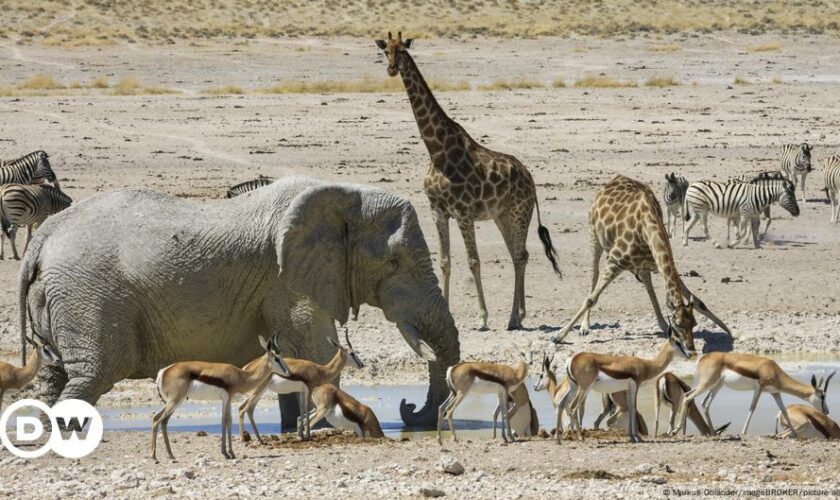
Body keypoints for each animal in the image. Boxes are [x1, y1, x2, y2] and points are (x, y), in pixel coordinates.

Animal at [18, 175, 460, 426]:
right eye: (393, 263)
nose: (409, 410)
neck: (344, 194)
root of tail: (44, 236)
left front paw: (295, 427)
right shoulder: (289, 278)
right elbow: (316, 350)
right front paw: (321, 428)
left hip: (63, 297)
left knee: (56, 375)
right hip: (88, 297)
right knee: (93, 374)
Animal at [152, 336, 292, 460]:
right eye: (276, 358)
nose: (289, 372)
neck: (242, 376)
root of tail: (164, 371)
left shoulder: (226, 401)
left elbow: (226, 421)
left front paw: (227, 453)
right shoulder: (228, 398)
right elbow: (227, 421)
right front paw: (229, 453)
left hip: (177, 402)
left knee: (161, 420)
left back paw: (170, 455)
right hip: (174, 401)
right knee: (157, 420)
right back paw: (154, 456)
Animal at [376, 34, 560, 332]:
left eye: (402, 50)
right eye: (385, 51)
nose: (392, 69)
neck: (437, 151)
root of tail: (531, 180)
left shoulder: (463, 213)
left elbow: (473, 261)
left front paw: (483, 317)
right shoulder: (438, 211)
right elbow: (444, 261)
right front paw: (446, 312)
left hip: (520, 212)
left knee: (519, 255)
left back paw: (513, 318)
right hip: (502, 216)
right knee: (518, 254)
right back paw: (519, 315)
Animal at [556, 177, 728, 348]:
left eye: (694, 324)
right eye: (678, 324)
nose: (690, 347)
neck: (647, 228)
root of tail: (614, 179)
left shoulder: (656, 262)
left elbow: (697, 300)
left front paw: (727, 330)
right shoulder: (615, 261)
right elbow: (591, 299)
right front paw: (559, 336)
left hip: (641, 263)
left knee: (647, 282)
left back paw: (662, 325)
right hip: (593, 232)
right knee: (594, 275)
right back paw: (585, 326)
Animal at [672, 352, 832, 438]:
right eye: (822, 396)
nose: (827, 411)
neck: (772, 369)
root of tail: (704, 357)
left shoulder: (775, 392)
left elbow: (784, 410)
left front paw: (795, 433)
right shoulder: (759, 388)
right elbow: (752, 408)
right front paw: (743, 431)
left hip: (716, 385)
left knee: (704, 402)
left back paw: (712, 433)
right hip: (707, 384)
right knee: (687, 397)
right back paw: (676, 429)